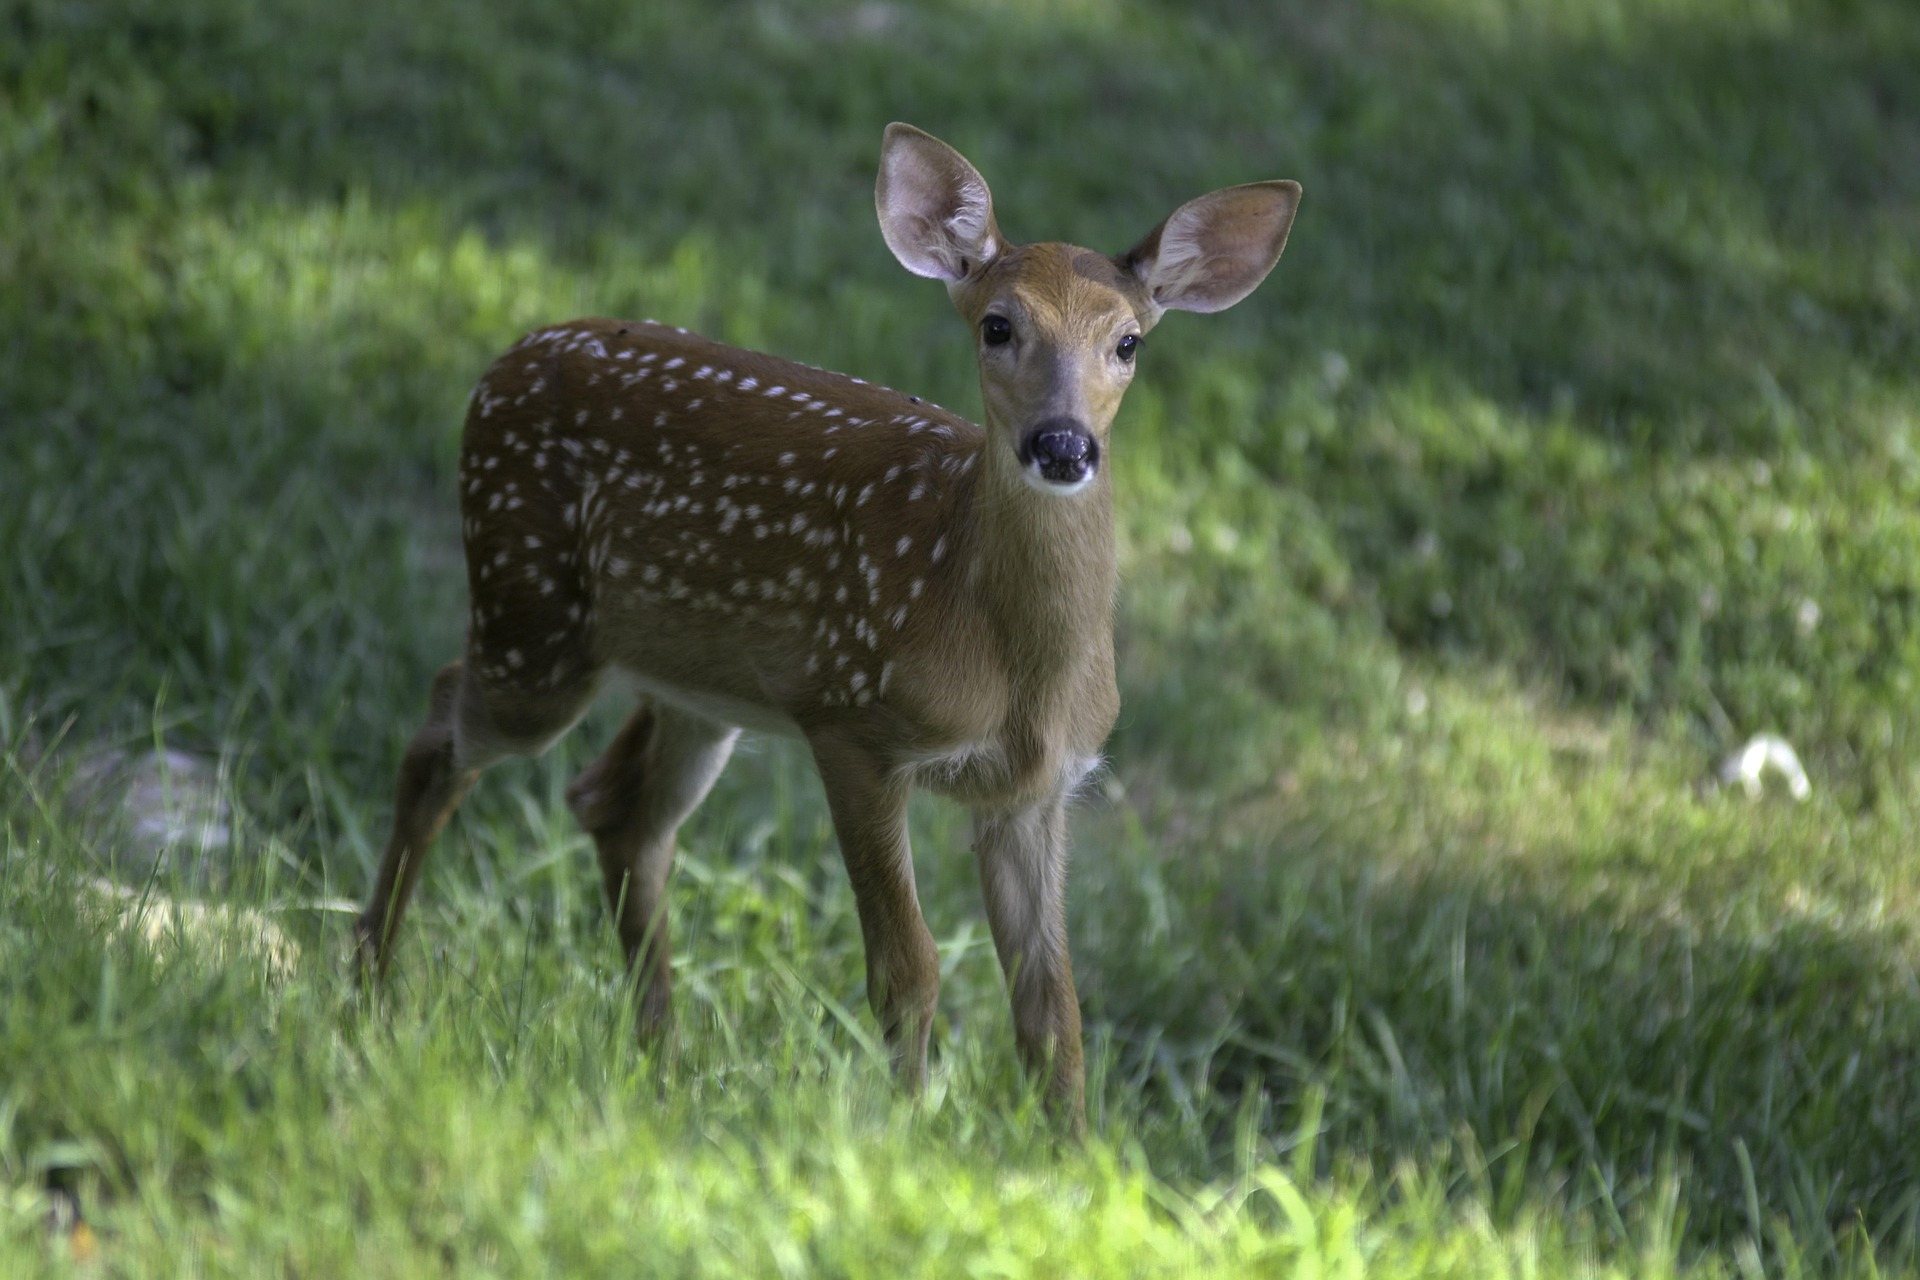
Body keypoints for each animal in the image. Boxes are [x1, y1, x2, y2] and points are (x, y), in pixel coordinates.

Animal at [355, 123, 1301, 1130]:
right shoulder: (853, 722)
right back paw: (370, 988)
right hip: (531, 615)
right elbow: (907, 969)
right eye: (997, 326)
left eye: (1128, 342)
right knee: (440, 734)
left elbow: (1053, 1008)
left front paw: (1070, 1155)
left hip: (696, 686)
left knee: (615, 806)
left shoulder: (1035, 791)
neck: (1004, 651)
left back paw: (661, 1062)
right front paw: (909, 1134)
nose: (1062, 444)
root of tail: (506, 358)